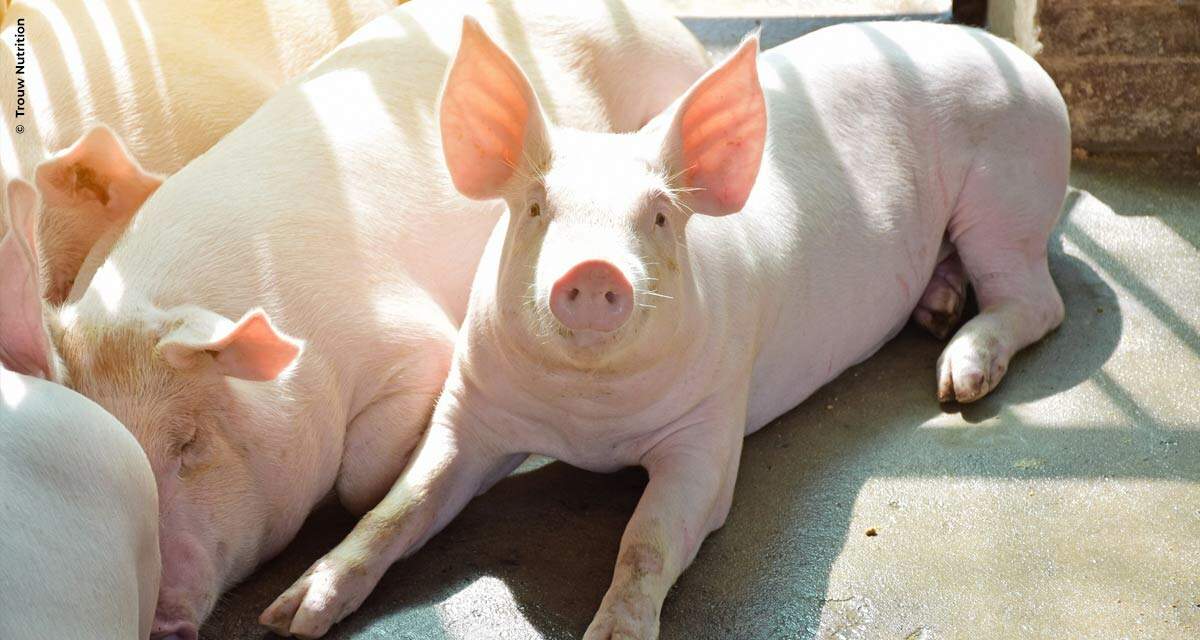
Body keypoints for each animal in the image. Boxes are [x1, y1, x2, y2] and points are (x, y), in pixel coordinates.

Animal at [274, 19, 1070, 638]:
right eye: (535, 206)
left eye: (658, 215)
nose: (594, 268)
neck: (588, 420)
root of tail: (1014, 58)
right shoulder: (470, 407)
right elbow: (397, 507)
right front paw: (290, 615)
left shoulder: (709, 430)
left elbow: (647, 540)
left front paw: (614, 634)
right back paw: (936, 311)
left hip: (1008, 192)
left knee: (1040, 301)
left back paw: (957, 379)